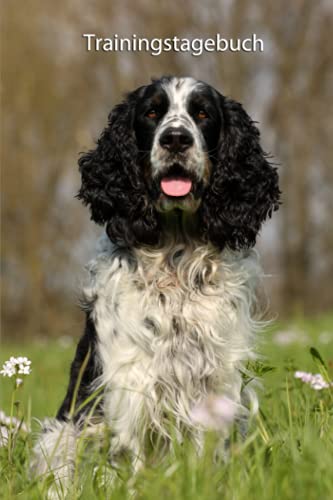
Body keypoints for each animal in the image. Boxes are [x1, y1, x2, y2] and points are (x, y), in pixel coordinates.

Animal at [32, 75, 278, 492]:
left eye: (202, 114)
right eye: (151, 113)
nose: (176, 139)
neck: (175, 256)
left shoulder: (215, 384)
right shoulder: (130, 383)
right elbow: (129, 459)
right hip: (60, 438)